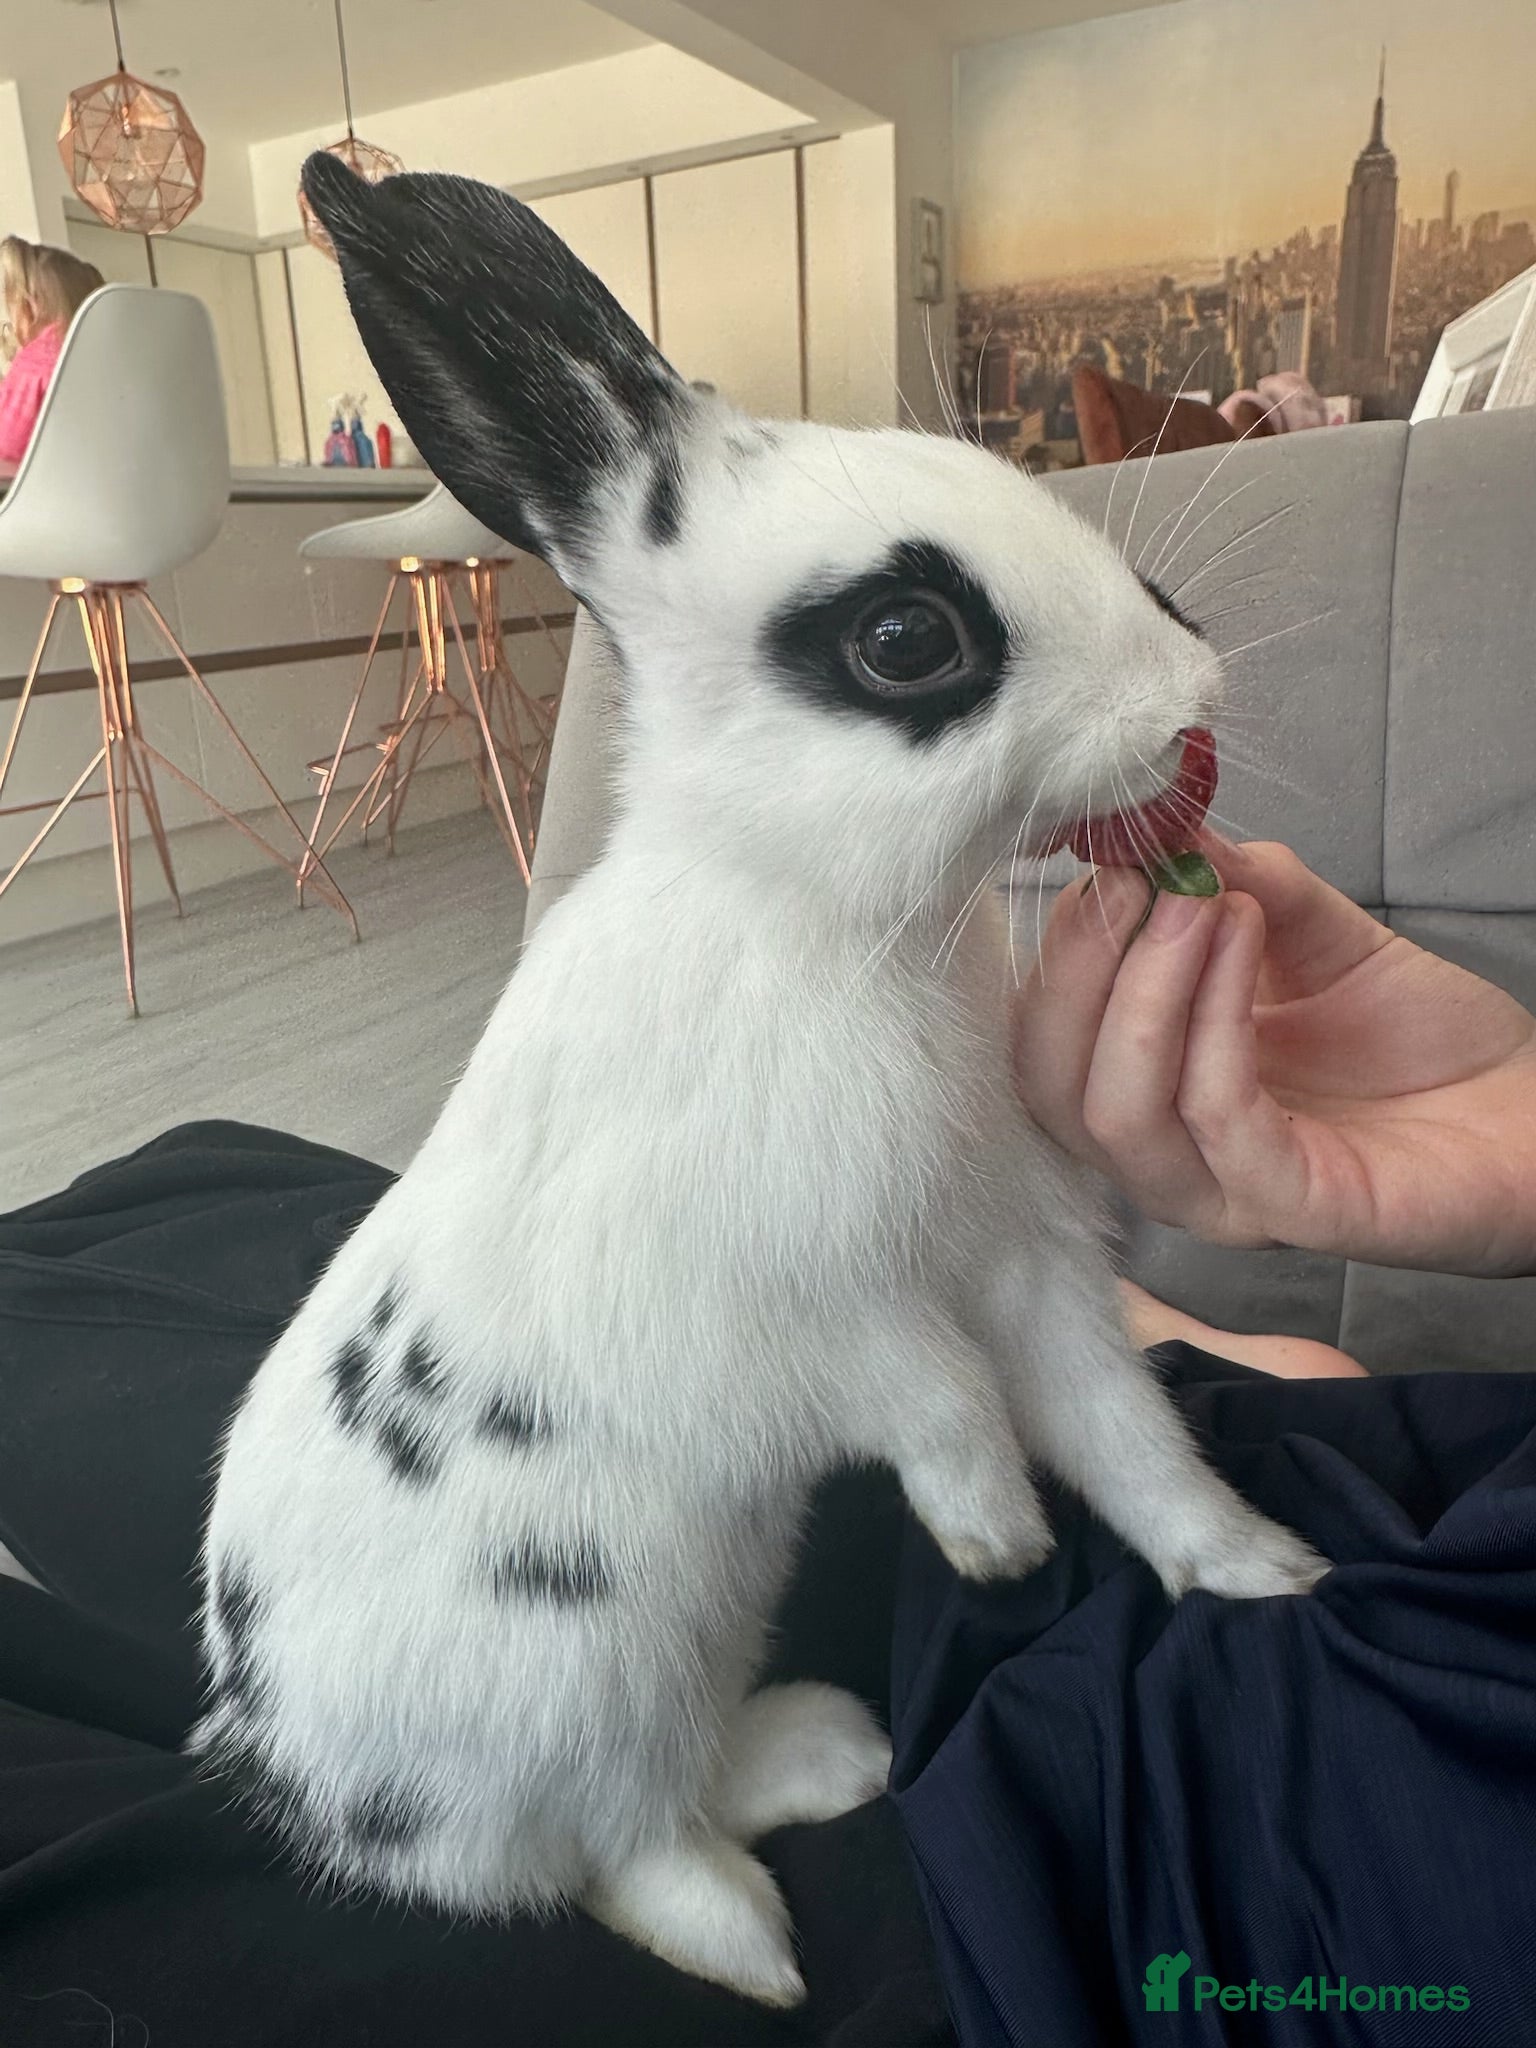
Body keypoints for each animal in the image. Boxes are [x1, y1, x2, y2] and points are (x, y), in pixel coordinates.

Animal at [193, 153, 1328, 2011]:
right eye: (905, 637)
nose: (1194, 695)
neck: (816, 925)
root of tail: (321, 1795)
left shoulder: (1022, 1265)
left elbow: (1129, 1437)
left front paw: (1261, 1571)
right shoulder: (789, 1305)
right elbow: (932, 1398)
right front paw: (999, 1540)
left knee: (668, 1798)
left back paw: (832, 1753)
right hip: (587, 1676)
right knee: (624, 1858)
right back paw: (766, 1948)